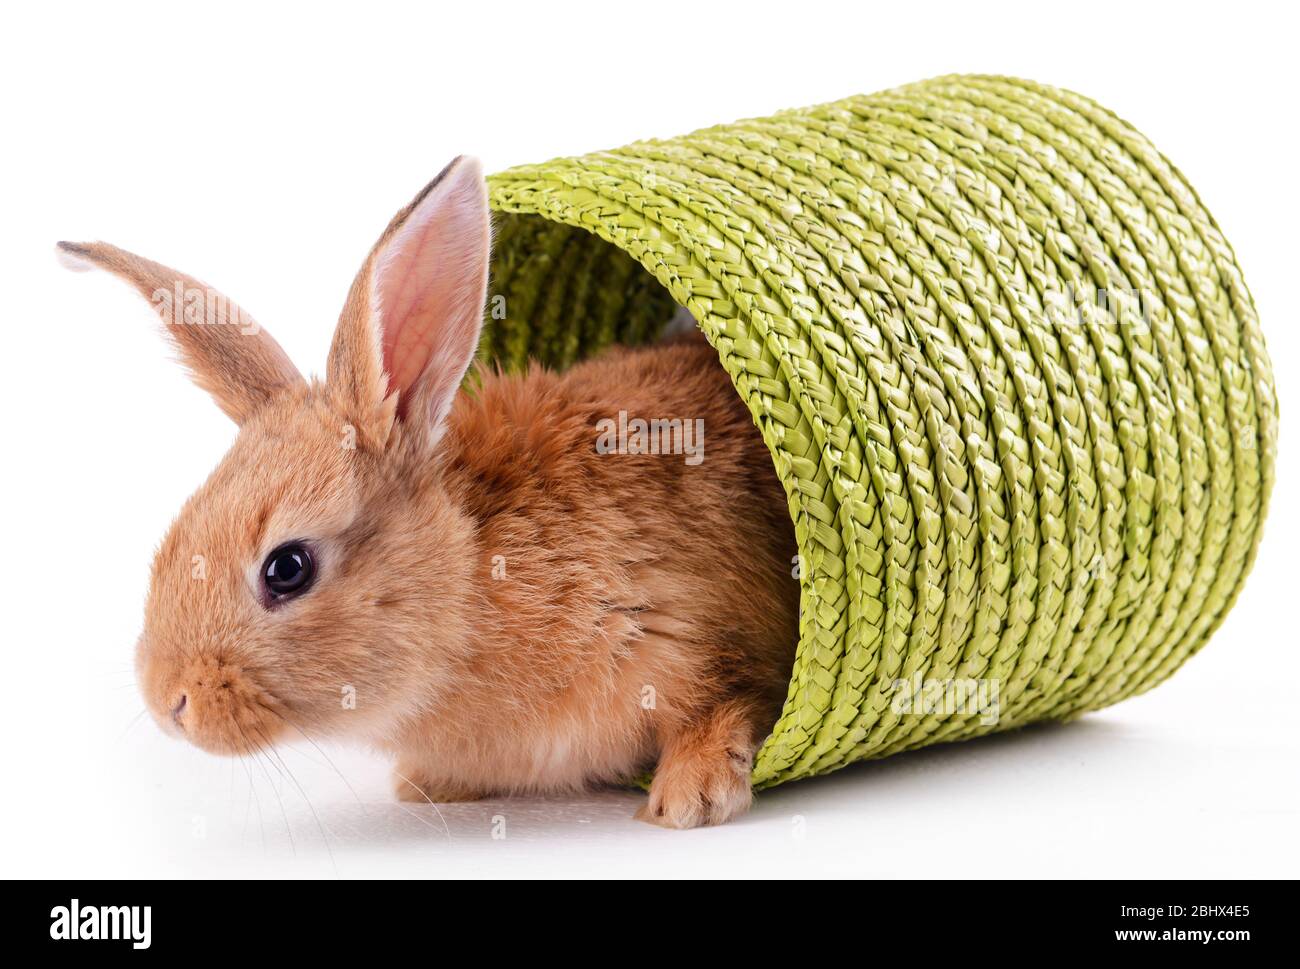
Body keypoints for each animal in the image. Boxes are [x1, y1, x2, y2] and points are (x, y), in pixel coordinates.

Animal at [59, 156, 800, 829]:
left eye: (287, 568)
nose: (166, 700)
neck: (472, 578)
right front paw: (426, 786)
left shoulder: (696, 628)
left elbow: (730, 699)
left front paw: (689, 797)